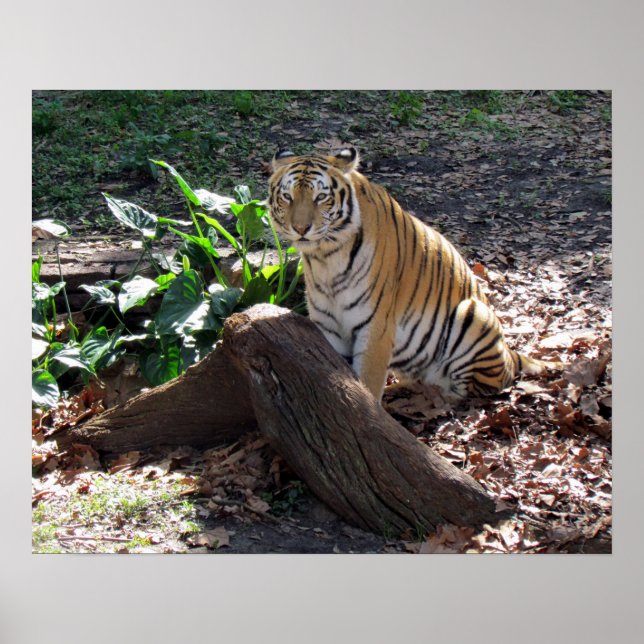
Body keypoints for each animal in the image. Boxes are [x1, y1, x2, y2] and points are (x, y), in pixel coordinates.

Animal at [267, 146, 560, 403]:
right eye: (287, 197)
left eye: (321, 197)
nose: (301, 228)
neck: (325, 258)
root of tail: (509, 352)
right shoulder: (327, 327)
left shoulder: (375, 327)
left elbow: (368, 385)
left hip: (473, 314)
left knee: (468, 391)